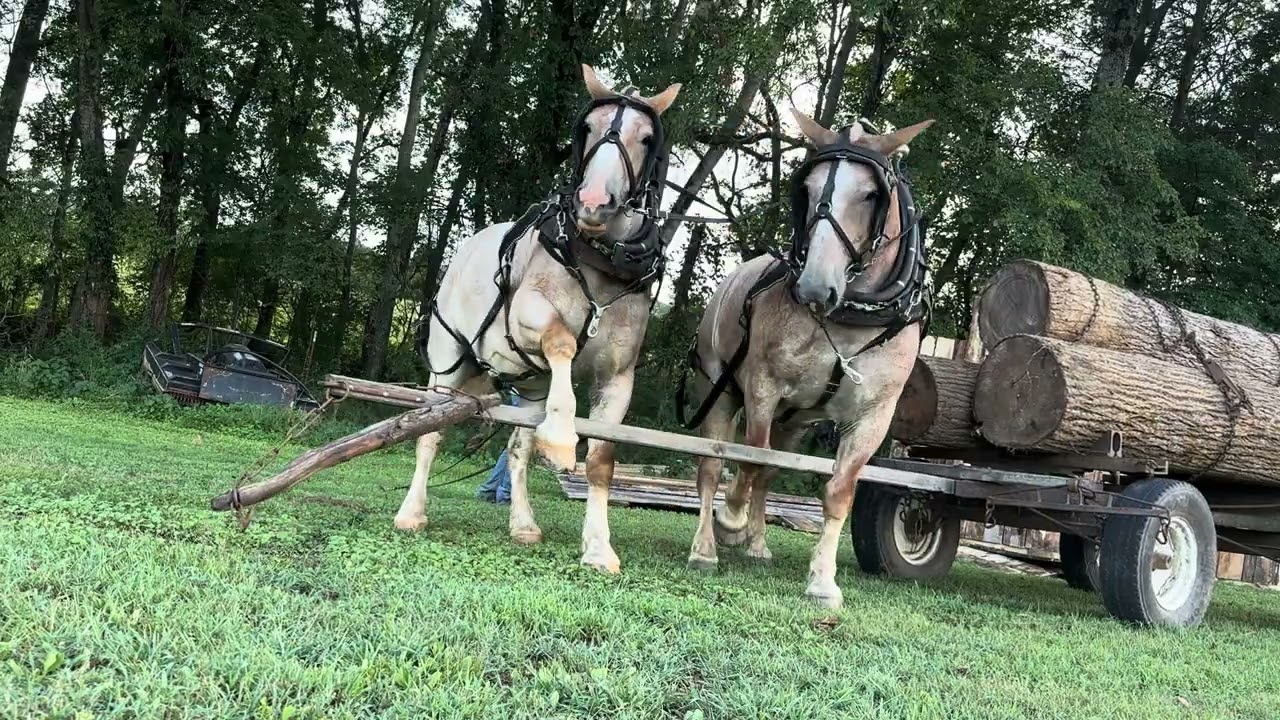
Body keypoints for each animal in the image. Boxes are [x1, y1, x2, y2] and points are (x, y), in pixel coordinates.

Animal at [396, 65, 681, 574]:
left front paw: (598, 547)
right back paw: (411, 512)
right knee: (430, 432)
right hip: (448, 364)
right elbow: (563, 341)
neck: (600, 261)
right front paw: (563, 438)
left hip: (530, 386)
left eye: (647, 138)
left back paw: (523, 524)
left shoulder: (618, 378)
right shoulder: (530, 316)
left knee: (518, 450)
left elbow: (601, 461)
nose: (593, 201)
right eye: (587, 128)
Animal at [680, 110, 934, 608]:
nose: (815, 287)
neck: (848, 318)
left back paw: (758, 544)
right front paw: (731, 520)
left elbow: (838, 491)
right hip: (719, 389)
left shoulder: (873, 417)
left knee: (773, 470)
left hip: (796, 421)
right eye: (809, 187)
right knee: (715, 465)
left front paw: (822, 580)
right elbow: (751, 461)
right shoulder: (763, 389)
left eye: (870, 194)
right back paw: (708, 545)